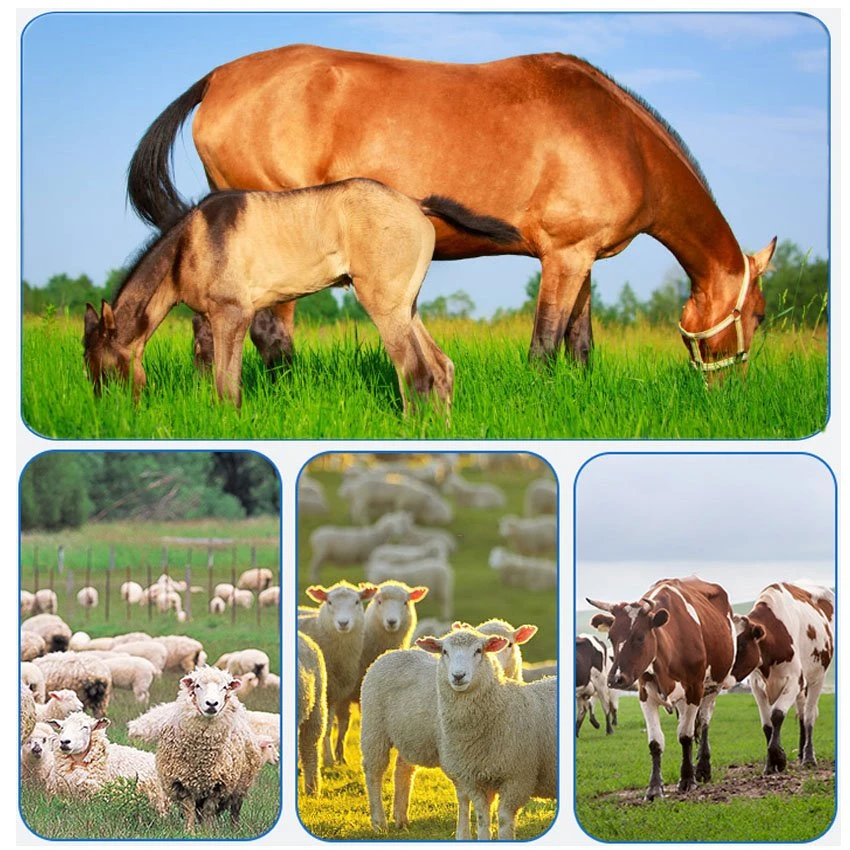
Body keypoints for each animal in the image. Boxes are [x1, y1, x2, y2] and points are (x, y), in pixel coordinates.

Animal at [83, 178, 519, 409]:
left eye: (101, 365)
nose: (107, 410)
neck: (189, 243)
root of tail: (416, 204)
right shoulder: (217, 318)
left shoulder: (231, 314)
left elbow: (227, 386)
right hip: (406, 306)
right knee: (442, 368)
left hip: (384, 307)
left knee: (417, 372)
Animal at [127, 44, 776, 378]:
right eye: (762, 315)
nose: (731, 388)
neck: (620, 136)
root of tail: (218, 78)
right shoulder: (564, 256)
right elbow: (546, 342)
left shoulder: (582, 256)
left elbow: (580, 342)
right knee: (268, 333)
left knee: (209, 329)